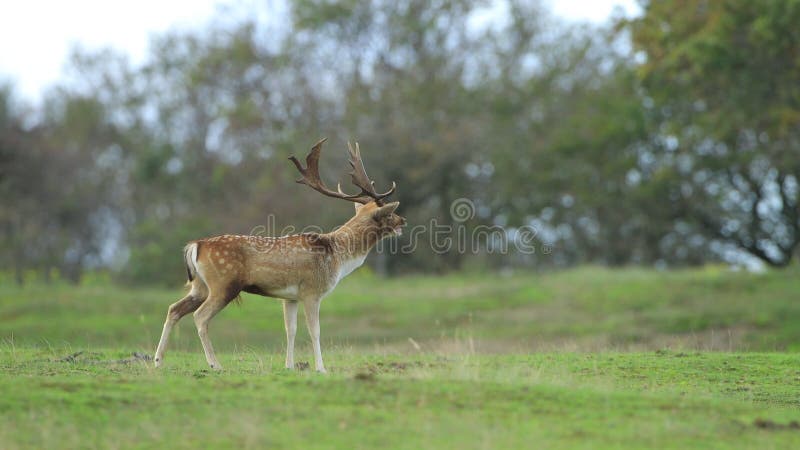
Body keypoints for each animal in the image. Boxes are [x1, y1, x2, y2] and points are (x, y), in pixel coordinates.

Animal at [155, 139, 406, 370]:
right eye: (388, 214)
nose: (403, 220)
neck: (337, 257)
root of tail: (195, 245)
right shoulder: (311, 291)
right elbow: (315, 330)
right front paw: (321, 368)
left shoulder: (290, 297)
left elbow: (290, 330)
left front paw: (290, 366)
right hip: (223, 284)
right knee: (200, 316)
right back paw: (215, 364)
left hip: (200, 286)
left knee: (173, 309)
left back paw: (158, 361)